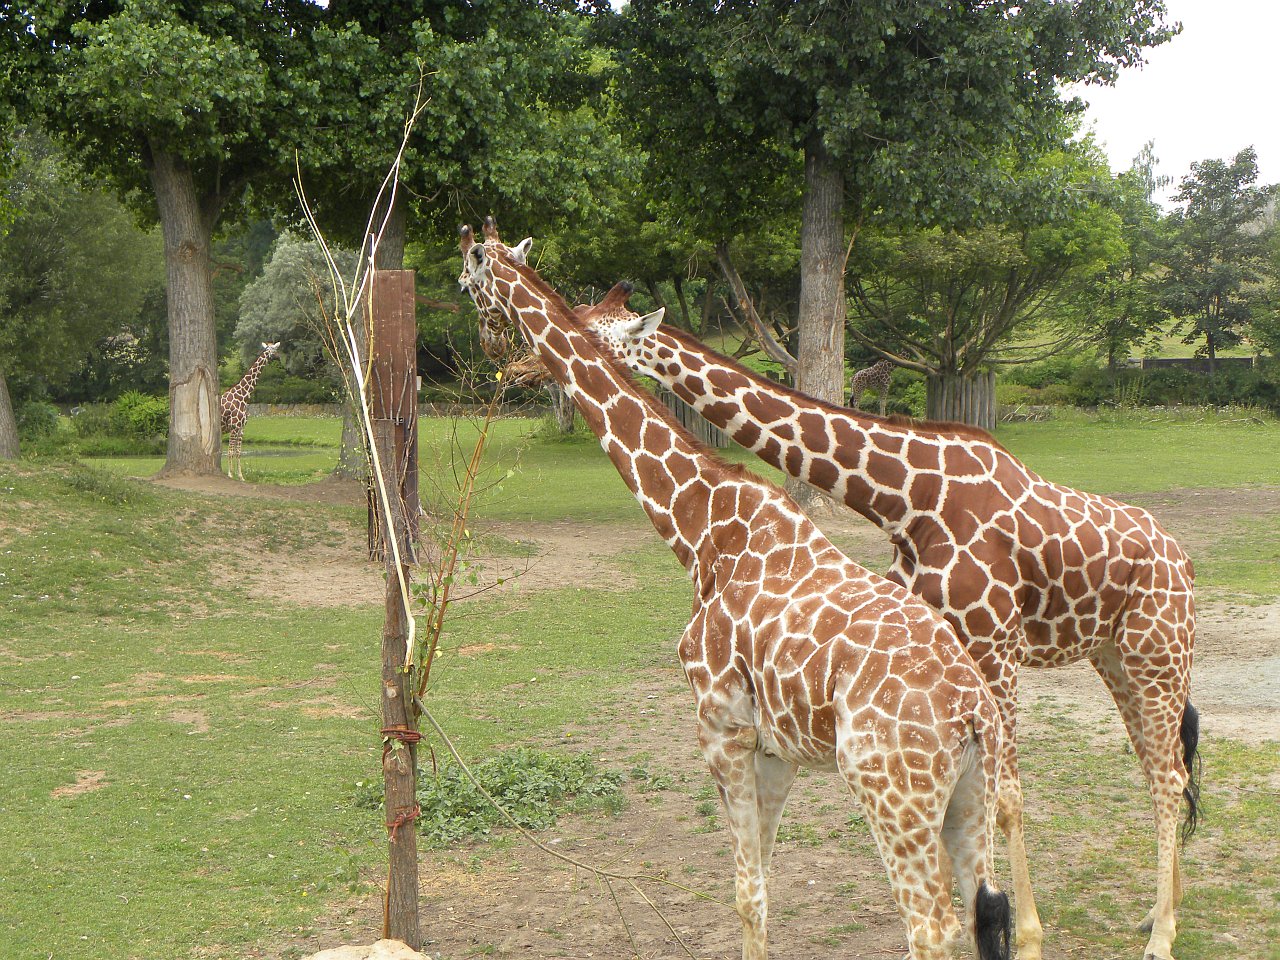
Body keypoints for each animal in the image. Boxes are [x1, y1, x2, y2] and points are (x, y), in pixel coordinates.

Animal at [219, 341, 281, 481]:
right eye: (273, 350)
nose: (279, 357)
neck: (244, 396)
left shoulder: (241, 428)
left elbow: (238, 452)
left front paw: (241, 476)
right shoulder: (234, 426)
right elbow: (230, 451)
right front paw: (230, 474)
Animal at [459, 220, 1014, 960]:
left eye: (468, 276)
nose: (502, 357)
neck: (701, 529)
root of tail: (972, 713)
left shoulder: (717, 724)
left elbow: (745, 895)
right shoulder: (774, 748)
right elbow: (764, 890)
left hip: (892, 792)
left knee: (932, 928)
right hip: (971, 797)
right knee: (989, 913)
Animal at [567, 288, 1199, 960]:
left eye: (598, 329)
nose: (536, 365)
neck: (905, 498)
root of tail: (1183, 558)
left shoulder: (994, 644)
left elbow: (1005, 799)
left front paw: (1028, 938)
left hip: (1156, 650)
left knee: (1167, 773)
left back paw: (1161, 936)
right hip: (1117, 656)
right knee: (1163, 766)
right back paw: (1161, 912)